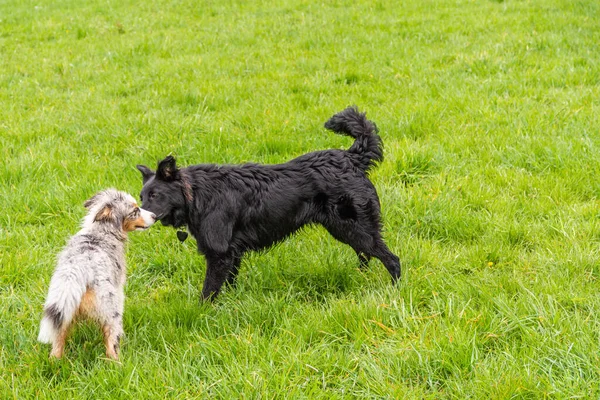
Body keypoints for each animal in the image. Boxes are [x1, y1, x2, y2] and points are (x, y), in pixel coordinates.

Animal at [135, 107, 398, 300]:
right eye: (141, 197)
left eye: (155, 196)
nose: (139, 217)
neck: (197, 195)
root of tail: (351, 158)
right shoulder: (232, 253)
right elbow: (229, 283)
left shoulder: (219, 254)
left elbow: (208, 292)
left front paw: (202, 314)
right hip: (347, 229)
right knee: (366, 255)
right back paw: (361, 278)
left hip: (353, 227)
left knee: (391, 259)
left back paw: (394, 290)